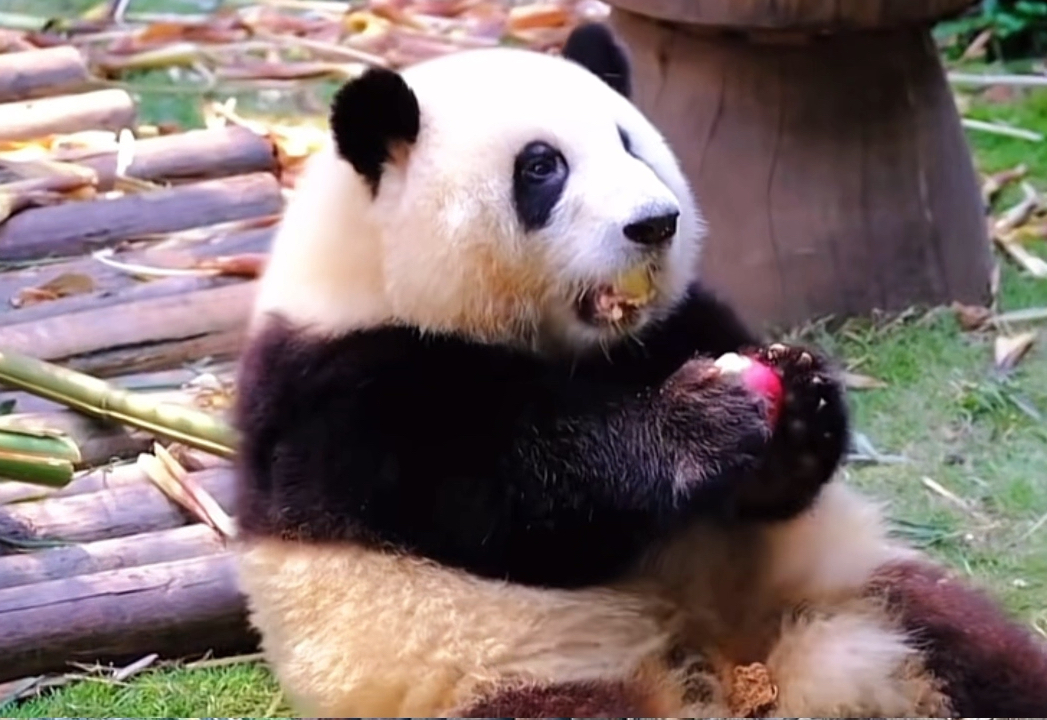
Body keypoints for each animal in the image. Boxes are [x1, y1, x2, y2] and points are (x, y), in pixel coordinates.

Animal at [233, 22, 1047, 720]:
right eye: (542, 166)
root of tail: (738, 671)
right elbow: (511, 498)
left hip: (848, 583)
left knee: (966, 645)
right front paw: (697, 427)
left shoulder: (675, 323)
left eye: (631, 144)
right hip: (509, 672)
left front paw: (799, 407)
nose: (655, 224)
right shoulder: (342, 391)